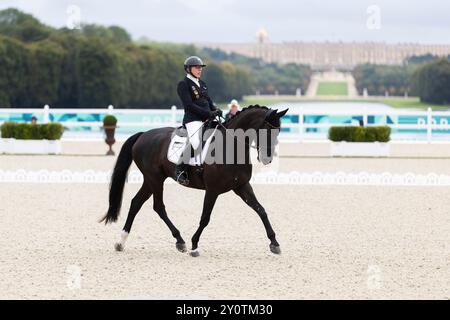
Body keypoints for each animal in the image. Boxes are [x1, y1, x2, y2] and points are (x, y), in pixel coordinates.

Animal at [100, 106, 288, 256]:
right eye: (266, 130)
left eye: (278, 131)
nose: (267, 159)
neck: (230, 147)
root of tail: (143, 135)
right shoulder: (212, 190)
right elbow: (205, 218)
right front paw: (194, 245)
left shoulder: (242, 186)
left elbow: (261, 210)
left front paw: (274, 243)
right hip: (155, 179)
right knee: (158, 207)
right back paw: (180, 241)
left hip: (151, 180)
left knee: (136, 203)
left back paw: (121, 242)